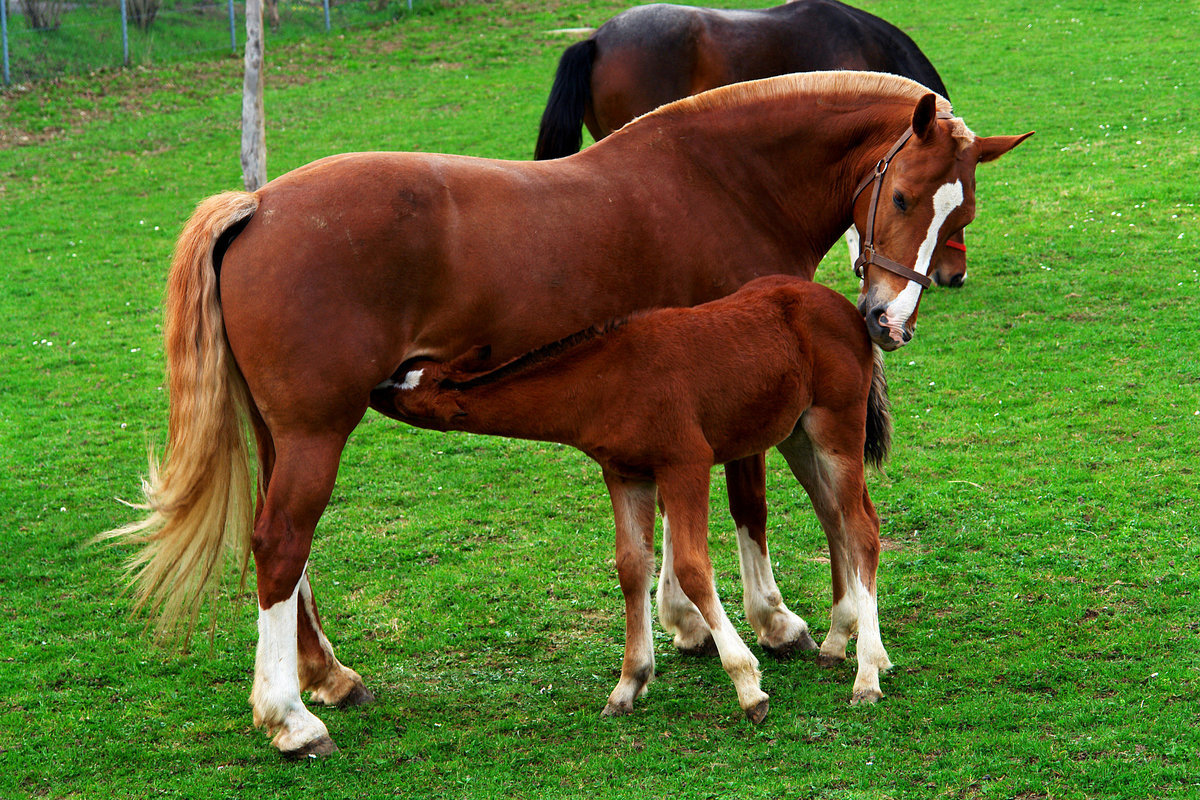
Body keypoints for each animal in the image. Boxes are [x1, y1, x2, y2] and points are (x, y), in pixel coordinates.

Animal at [379, 275, 897, 719]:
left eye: (405, 387)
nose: (375, 385)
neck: (609, 380)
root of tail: (851, 311)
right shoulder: (625, 476)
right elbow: (631, 567)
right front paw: (629, 683)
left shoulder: (686, 465)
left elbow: (692, 568)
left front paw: (747, 686)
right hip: (797, 433)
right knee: (834, 517)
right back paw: (836, 641)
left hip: (836, 426)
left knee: (862, 529)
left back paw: (867, 673)